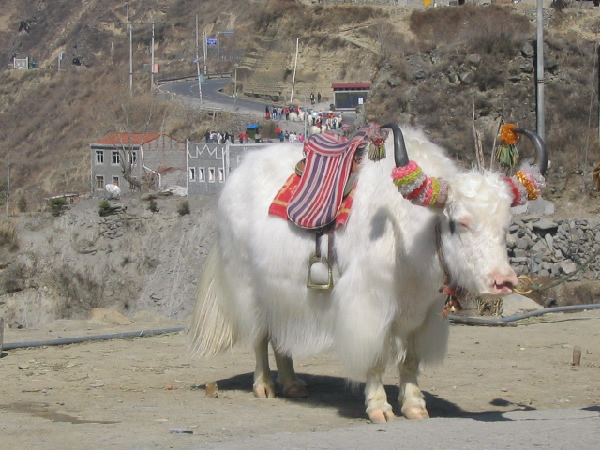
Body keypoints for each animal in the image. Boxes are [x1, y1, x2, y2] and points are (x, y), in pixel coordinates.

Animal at [187, 123, 547, 423]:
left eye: (505, 226)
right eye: (458, 223)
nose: (502, 281)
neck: (410, 235)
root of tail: (234, 177)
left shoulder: (425, 313)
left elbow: (410, 360)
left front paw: (415, 406)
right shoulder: (369, 307)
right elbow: (375, 358)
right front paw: (380, 409)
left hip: (284, 292)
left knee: (280, 336)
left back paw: (292, 384)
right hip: (247, 284)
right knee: (259, 336)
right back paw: (265, 386)